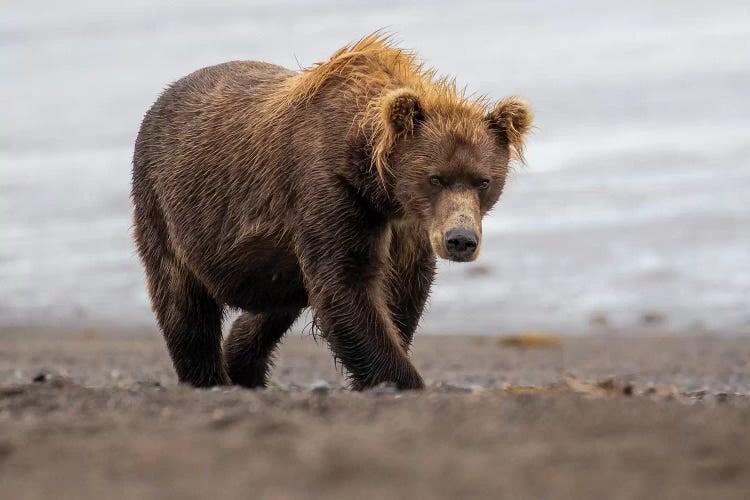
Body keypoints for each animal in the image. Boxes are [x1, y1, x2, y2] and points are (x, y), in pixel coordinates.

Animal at [135, 33, 536, 390]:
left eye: (483, 181)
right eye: (435, 177)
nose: (460, 240)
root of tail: (164, 95)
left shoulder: (407, 226)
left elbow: (403, 290)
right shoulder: (332, 192)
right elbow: (345, 283)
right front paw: (401, 379)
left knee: (275, 300)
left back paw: (243, 364)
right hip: (166, 201)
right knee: (181, 297)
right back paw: (207, 377)